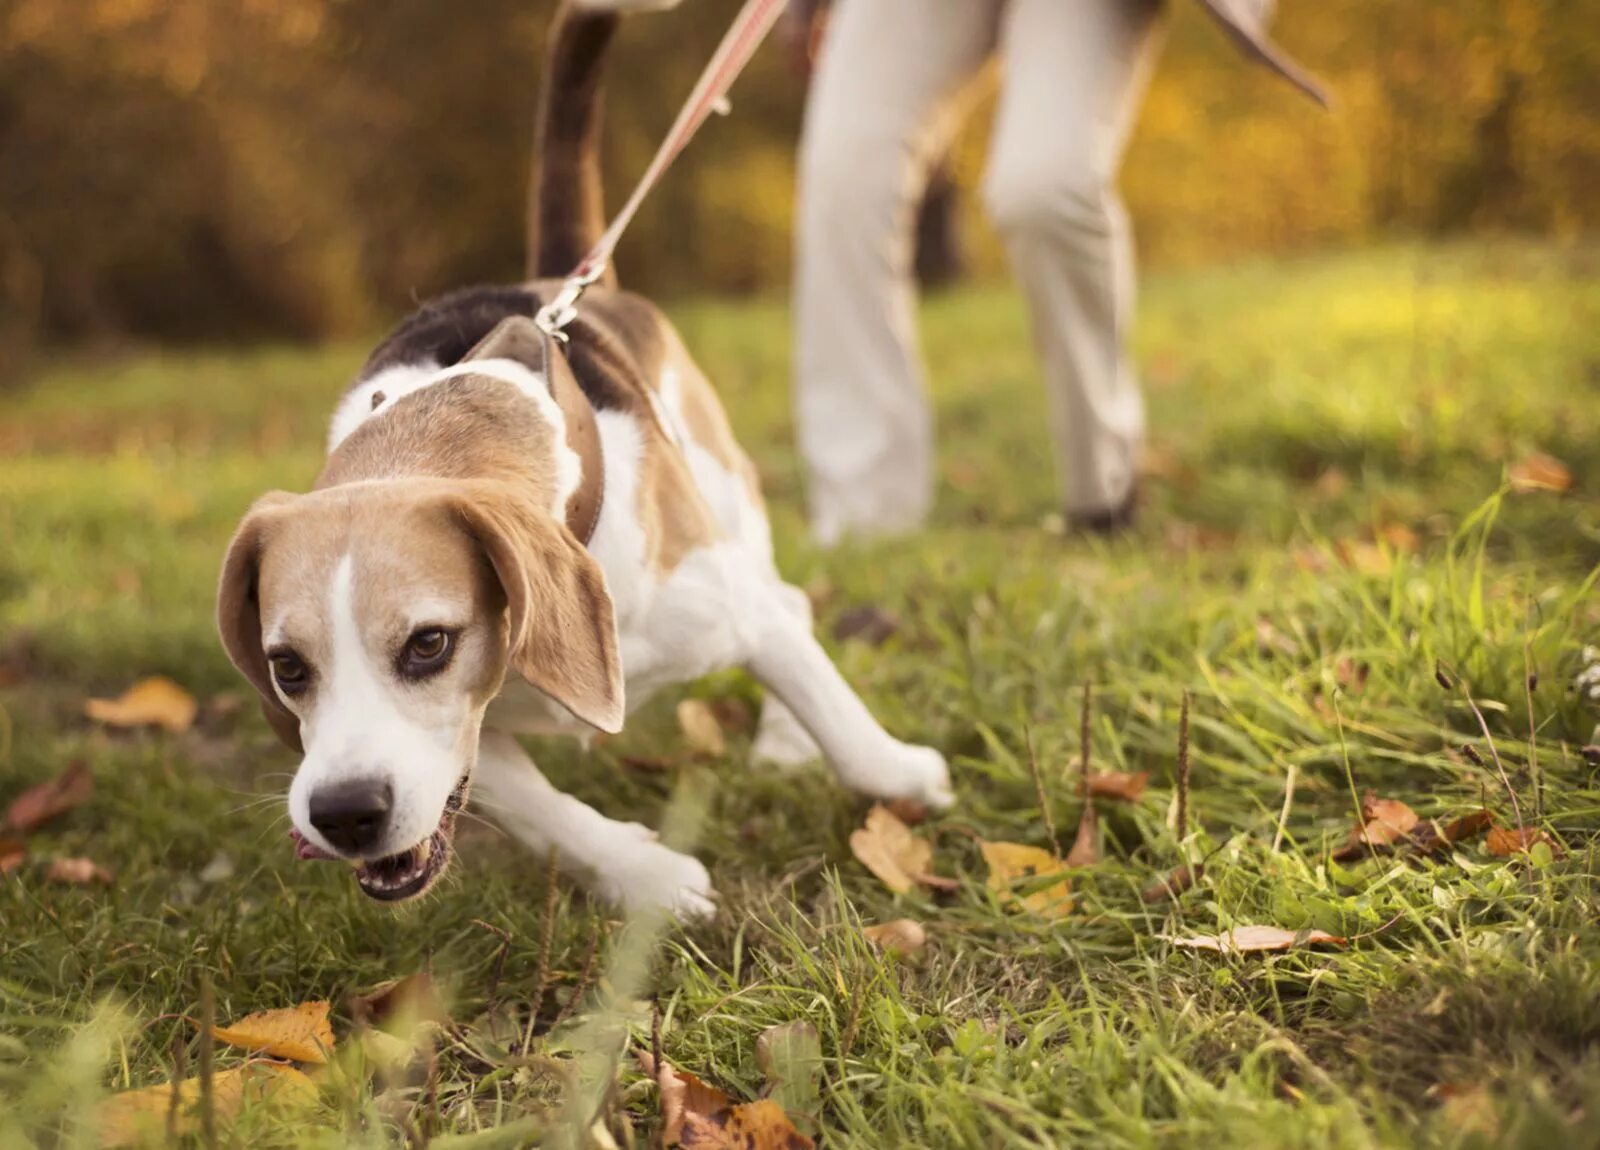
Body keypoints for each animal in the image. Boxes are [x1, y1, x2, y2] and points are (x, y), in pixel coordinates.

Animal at [219, 0, 953, 914]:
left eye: (428, 644)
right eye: (285, 666)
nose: (345, 813)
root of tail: (565, 282)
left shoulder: (733, 610)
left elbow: (841, 723)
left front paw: (906, 777)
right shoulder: (473, 740)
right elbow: (543, 813)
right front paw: (648, 878)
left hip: (728, 507)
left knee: (789, 601)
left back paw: (787, 741)